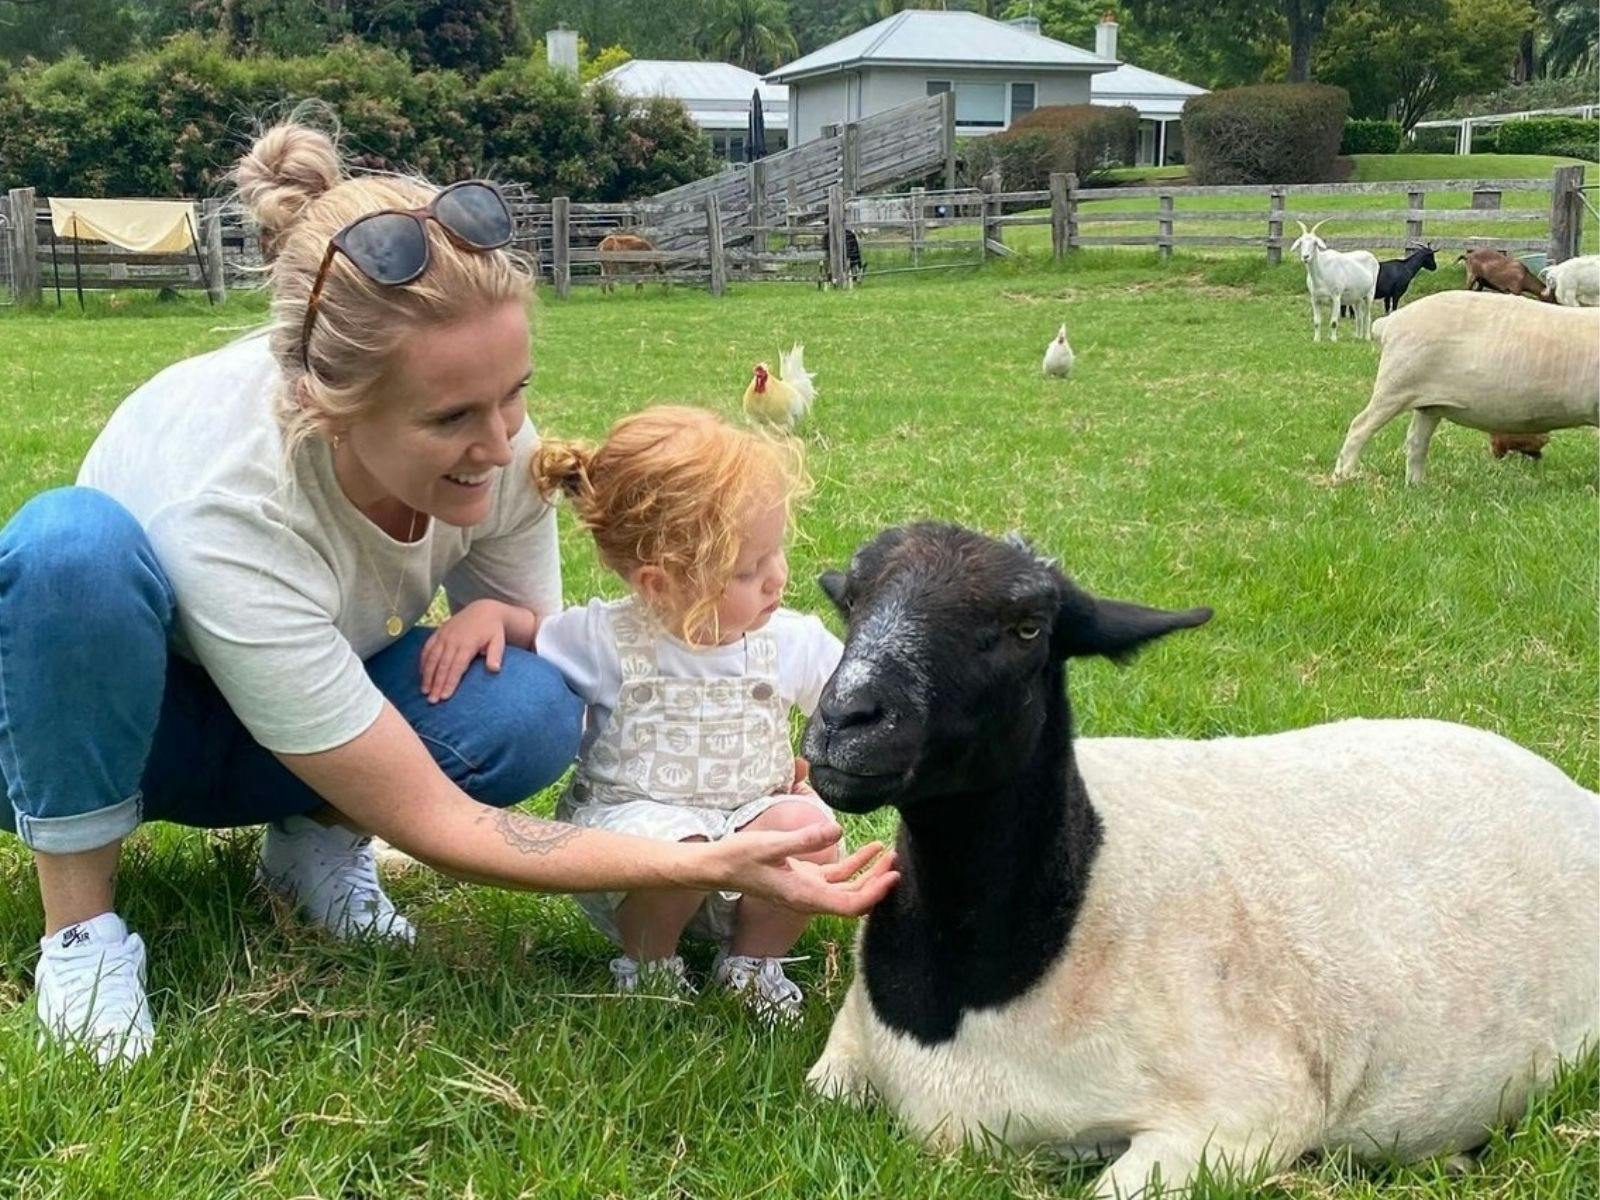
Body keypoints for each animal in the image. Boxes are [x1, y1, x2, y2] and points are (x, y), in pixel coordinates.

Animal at [802, 522, 1599, 1200]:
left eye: (1028, 628)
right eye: (854, 601)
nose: (846, 720)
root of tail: (1570, 790)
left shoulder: (1240, 1115)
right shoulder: (842, 1061)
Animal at [1332, 289, 1599, 484]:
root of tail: (1390, 322)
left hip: (1429, 403)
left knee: (1416, 441)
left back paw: (1416, 486)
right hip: (1396, 385)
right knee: (1360, 426)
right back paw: (1342, 477)